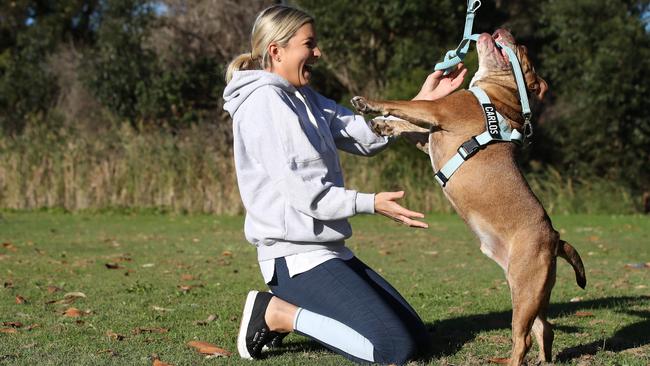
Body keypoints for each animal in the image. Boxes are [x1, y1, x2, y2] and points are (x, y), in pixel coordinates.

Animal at [352, 29, 584, 366]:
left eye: (522, 48)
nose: (506, 31)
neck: (499, 97)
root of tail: (555, 238)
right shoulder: (429, 135)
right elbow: (408, 125)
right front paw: (384, 124)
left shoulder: (438, 110)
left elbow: (403, 103)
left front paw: (370, 104)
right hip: (531, 290)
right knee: (545, 328)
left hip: (525, 287)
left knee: (524, 338)